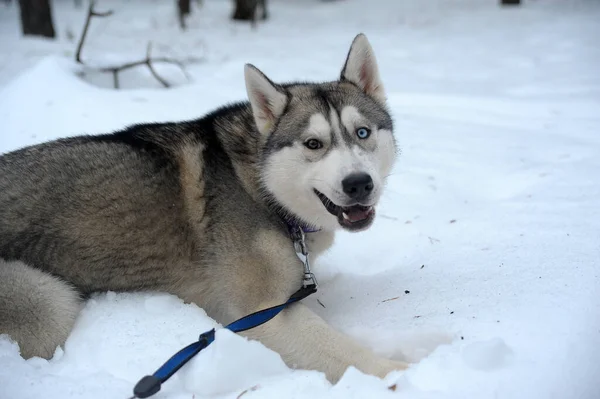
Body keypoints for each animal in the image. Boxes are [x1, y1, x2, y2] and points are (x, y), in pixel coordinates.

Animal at [0, 34, 408, 384]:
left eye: (362, 133)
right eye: (313, 143)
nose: (358, 183)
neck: (260, 189)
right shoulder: (261, 315)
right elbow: (347, 353)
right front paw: (403, 372)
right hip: (46, 304)